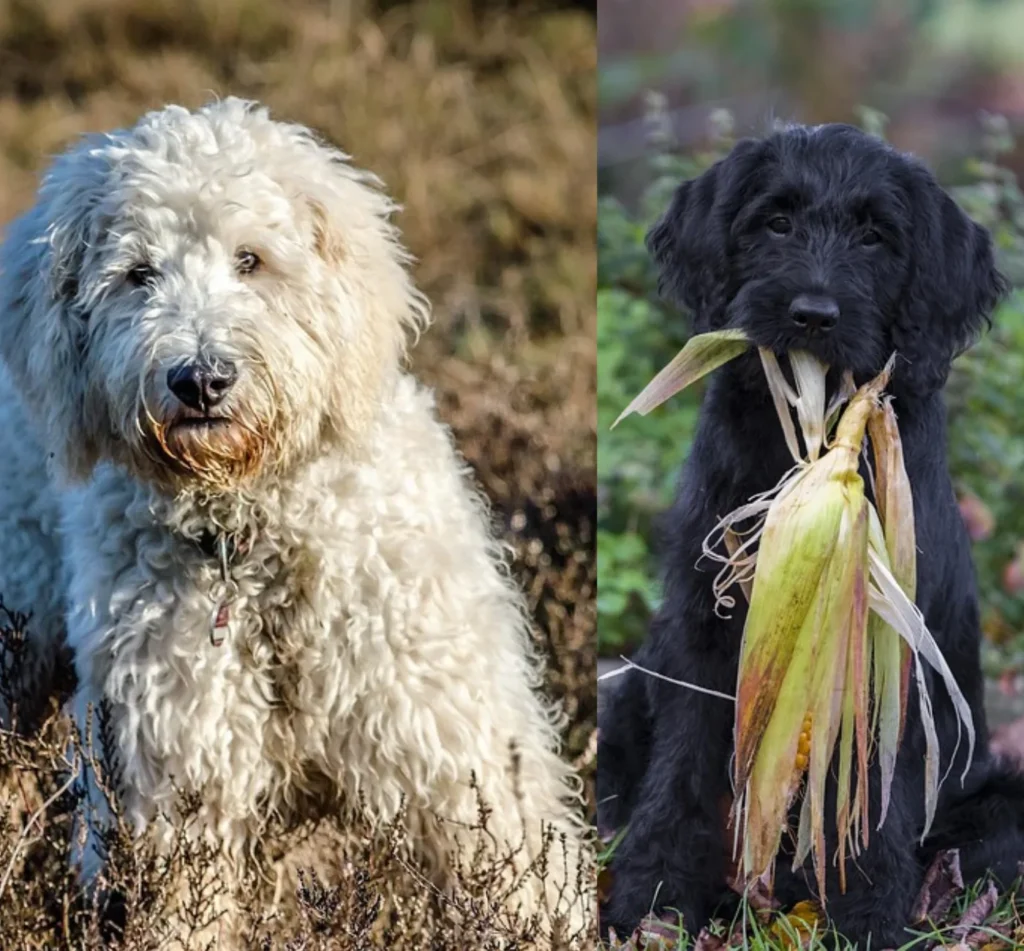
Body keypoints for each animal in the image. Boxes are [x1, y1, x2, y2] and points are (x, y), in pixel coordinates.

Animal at [0, 100, 589, 937]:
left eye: (251, 259)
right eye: (137, 274)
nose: (201, 379)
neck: (255, 539)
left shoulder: (451, 739)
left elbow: (517, 879)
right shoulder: (177, 769)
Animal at [598, 124, 1024, 941]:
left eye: (875, 235)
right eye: (777, 221)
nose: (813, 314)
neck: (806, 435)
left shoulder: (892, 653)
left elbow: (876, 793)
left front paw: (869, 917)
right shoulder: (703, 635)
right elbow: (681, 770)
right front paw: (651, 894)